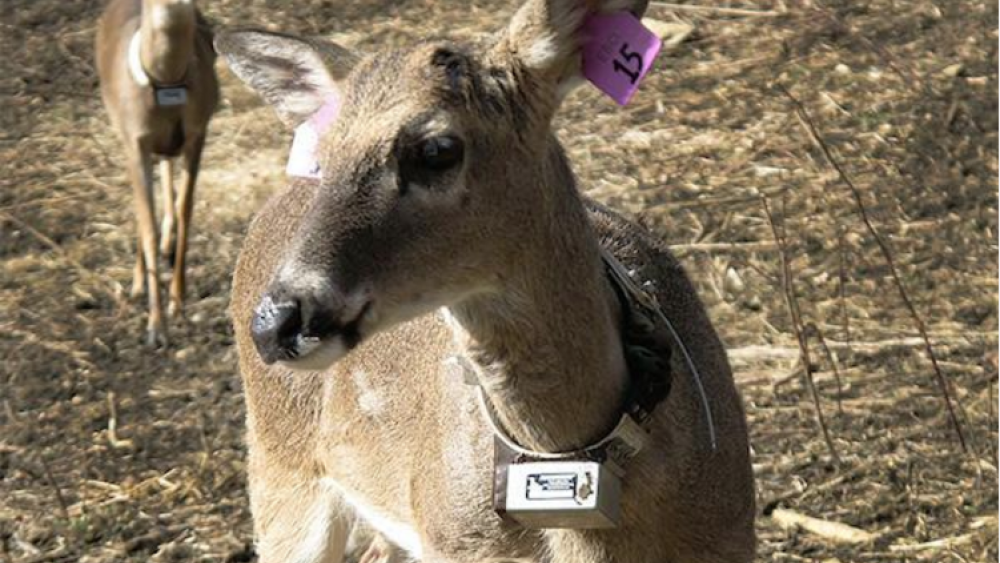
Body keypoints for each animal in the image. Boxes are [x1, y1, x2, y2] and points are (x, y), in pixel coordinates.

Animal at [95, 0, 219, 346]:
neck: (166, 83)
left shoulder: (197, 133)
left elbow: (187, 212)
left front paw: (178, 301)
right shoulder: (135, 141)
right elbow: (146, 222)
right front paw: (156, 326)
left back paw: (166, 245)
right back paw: (138, 283)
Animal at [215, 0, 752, 560]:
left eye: (437, 149)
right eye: (324, 154)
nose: (276, 322)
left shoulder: (732, 533)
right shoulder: (454, 543)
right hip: (282, 471)